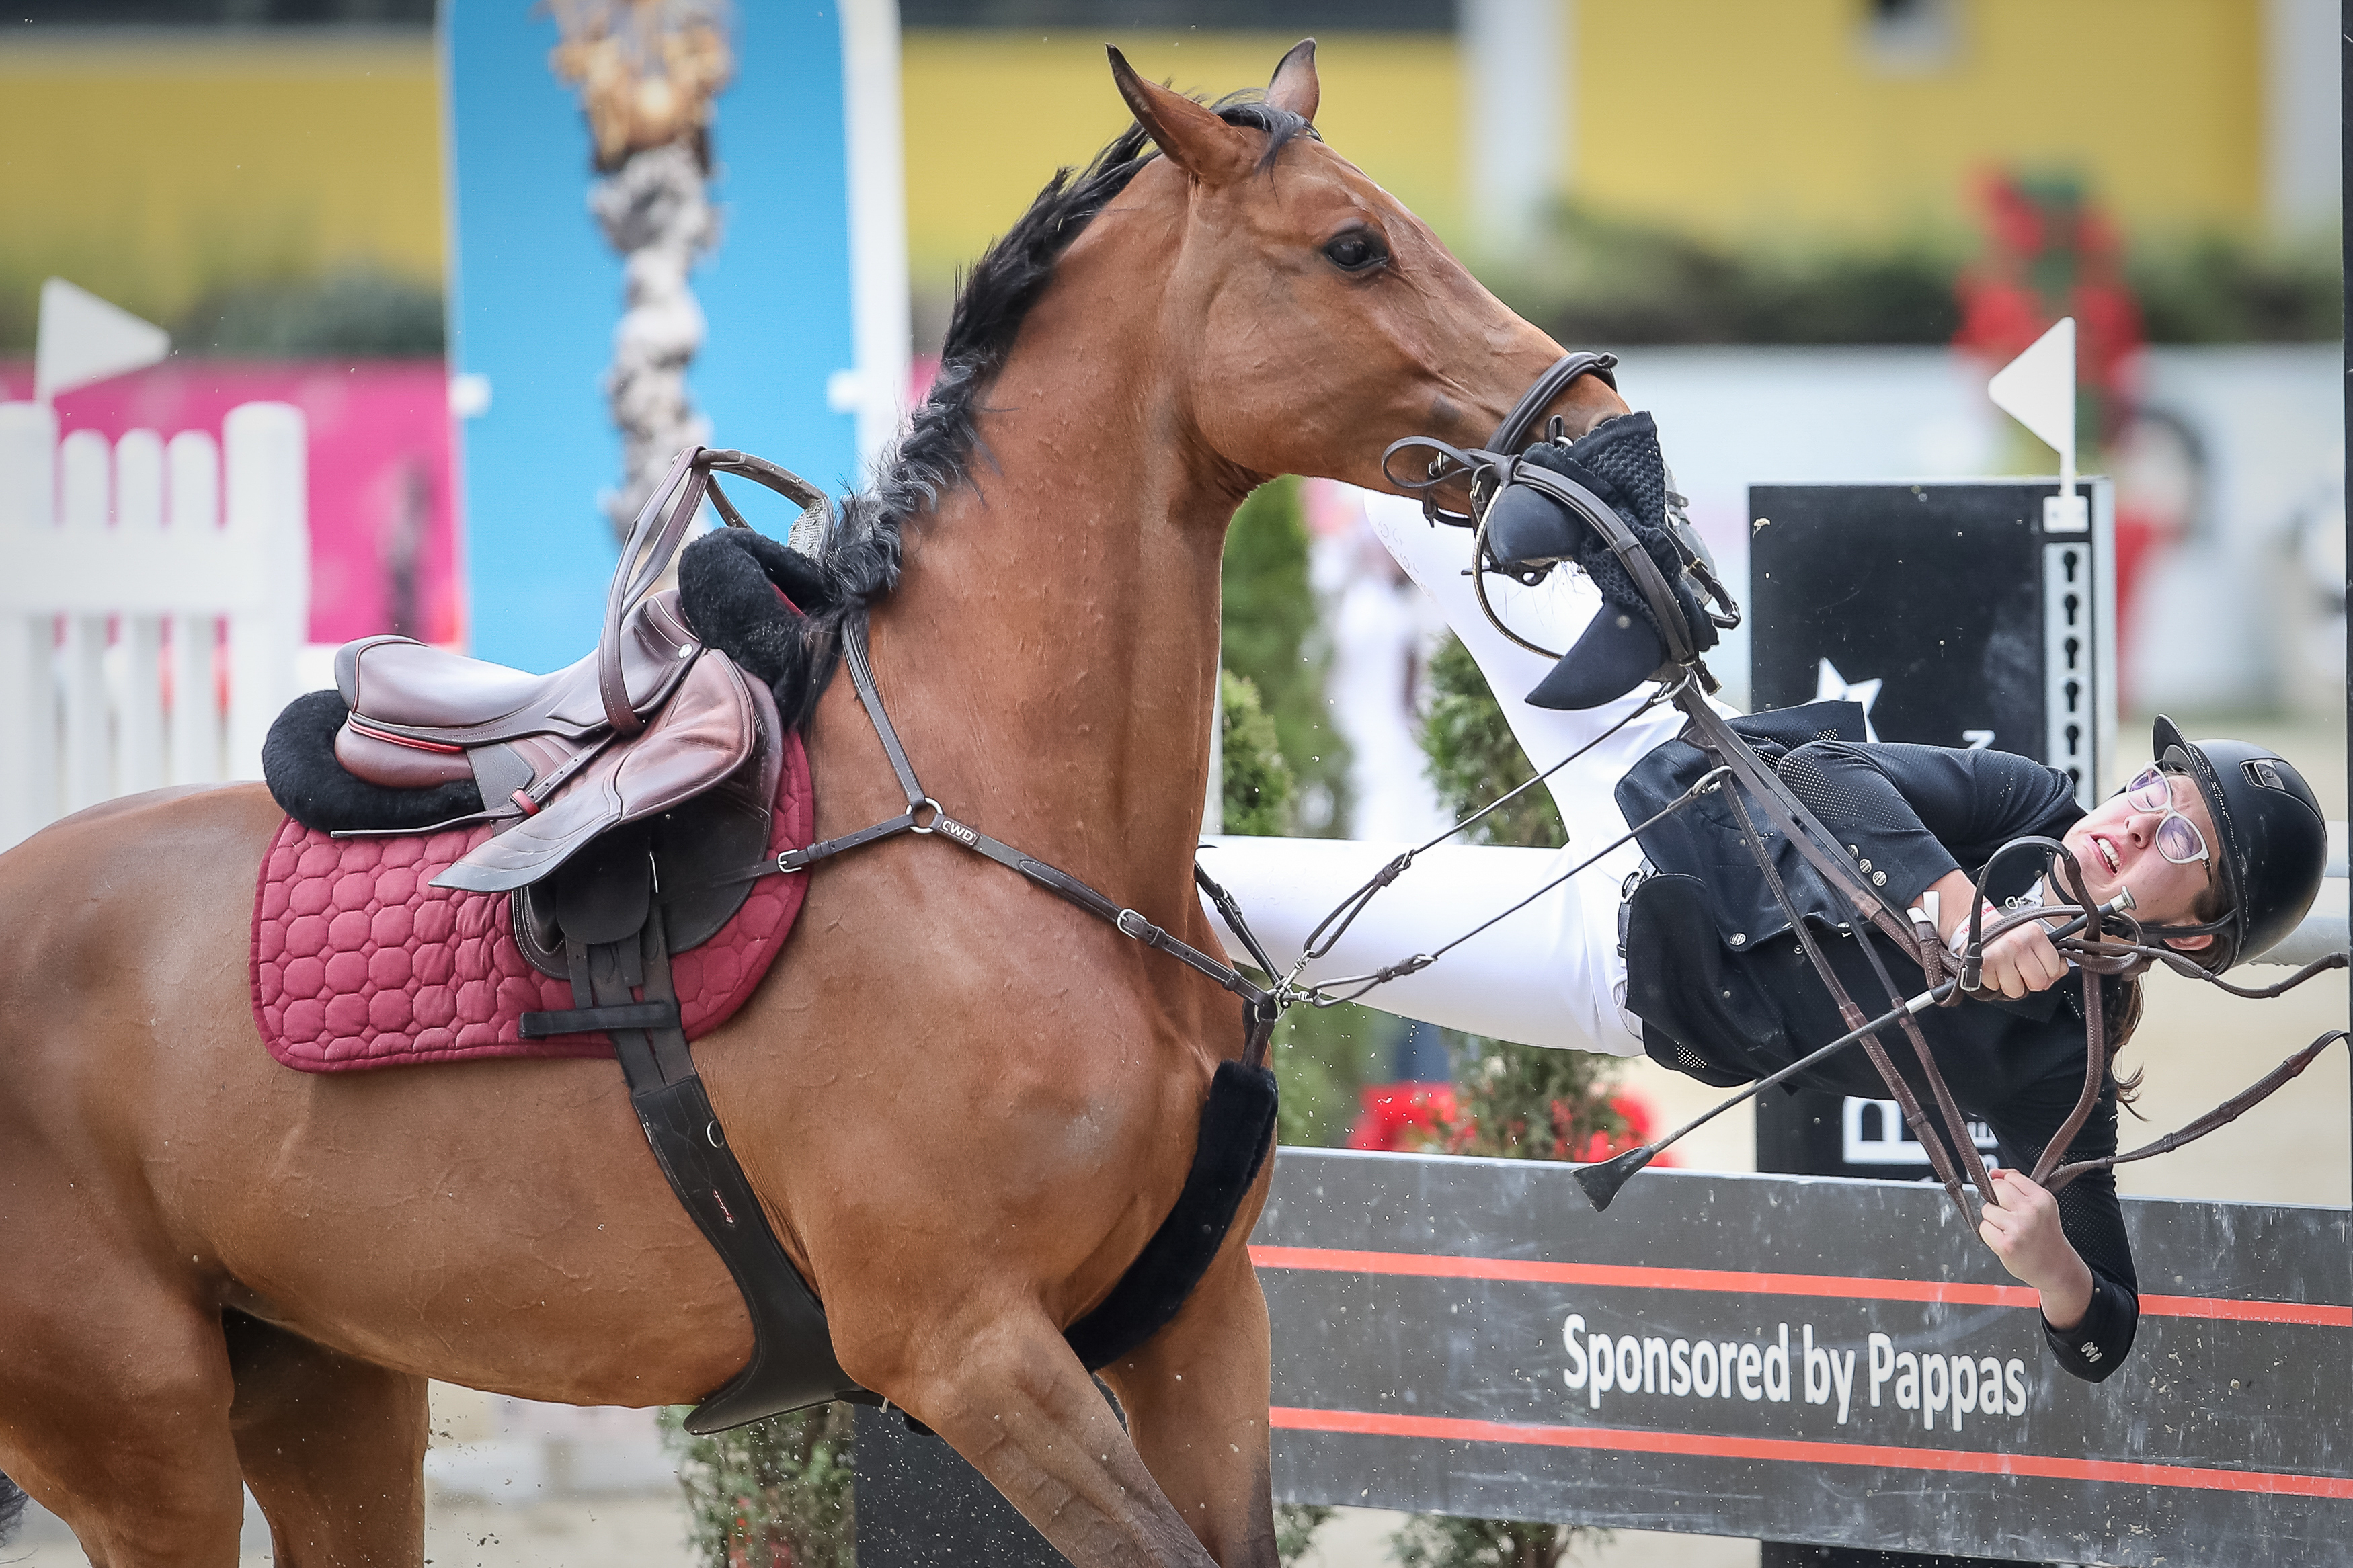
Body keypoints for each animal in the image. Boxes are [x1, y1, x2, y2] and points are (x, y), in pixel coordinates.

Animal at [0, 42, 1619, 1561]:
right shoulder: (971, 1352)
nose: (1596, 422)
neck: (1000, 846)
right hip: (145, 1437)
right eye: (1353, 245)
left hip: (325, 1390)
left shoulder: (1199, 1331)